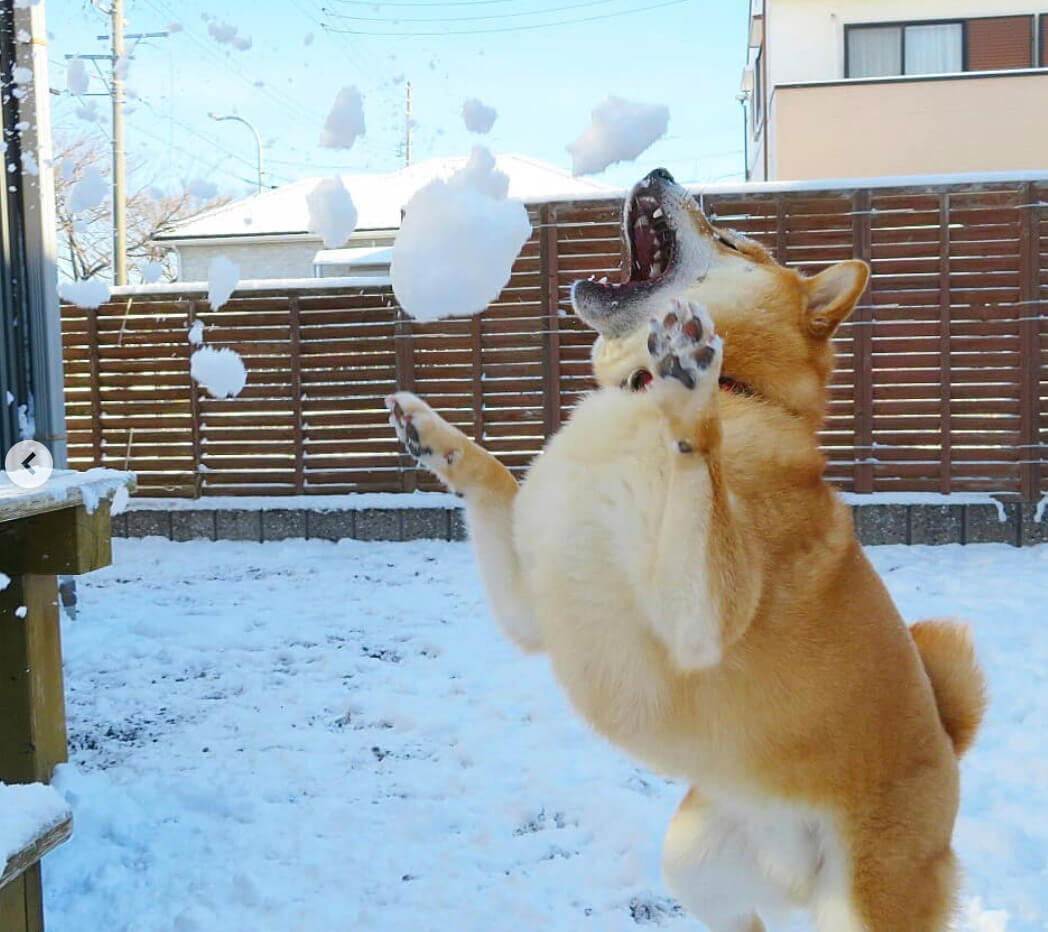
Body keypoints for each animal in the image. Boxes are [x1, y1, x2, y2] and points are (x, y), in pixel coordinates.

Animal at [385, 168, 980, 930]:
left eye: (728, 238)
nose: (660, 173)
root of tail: (948, 748)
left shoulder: (701, 627)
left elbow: (703, 469)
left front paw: (691, 384)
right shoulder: (530, 606)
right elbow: (490, 473)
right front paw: (431, 433)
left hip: (868, 900)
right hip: (694, 861)